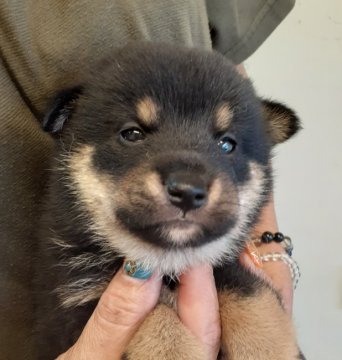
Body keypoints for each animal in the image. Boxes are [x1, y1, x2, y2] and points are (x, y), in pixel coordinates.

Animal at [34, 43, 302, 358]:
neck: (169, 265)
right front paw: (173, 347)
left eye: (227, 144)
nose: (188, 191)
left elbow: (253, 298)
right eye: (132, 133)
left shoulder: (225, 268)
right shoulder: (80, 302)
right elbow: (157, 319)